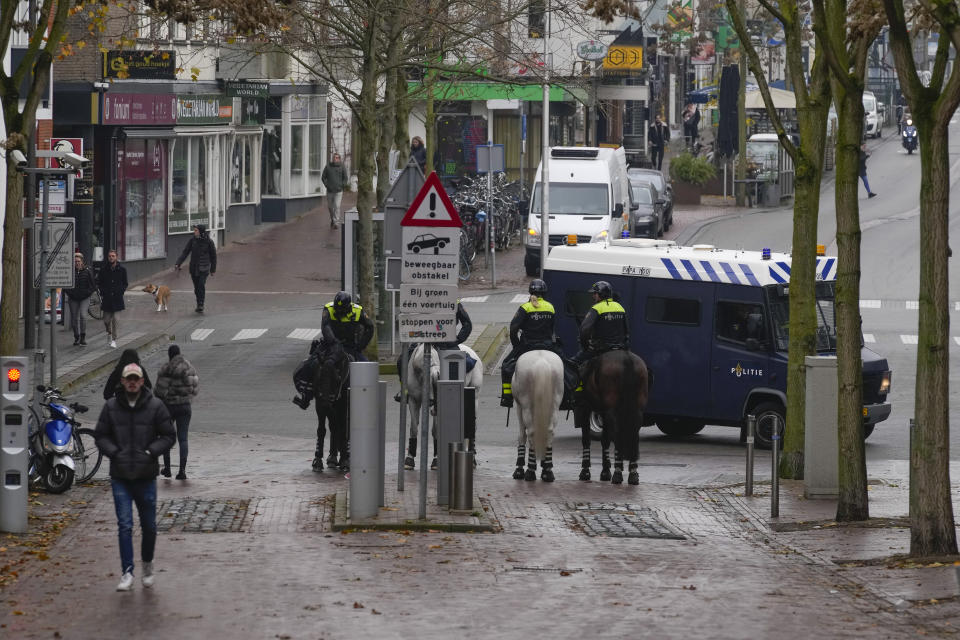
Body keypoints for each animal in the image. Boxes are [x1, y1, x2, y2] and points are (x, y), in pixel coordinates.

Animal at [512, 350, 568, 480]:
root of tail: (541, 362)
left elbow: (522, 435)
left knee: (531, 432)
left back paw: (530, 471)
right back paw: (548, 471)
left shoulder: (519, 406)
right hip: (554, 405)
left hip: (526, 406)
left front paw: (519, 469)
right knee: (550, 431)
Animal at [572, 350, 648, 484]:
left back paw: (617, 473)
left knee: (618, 435)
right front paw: (605, 471)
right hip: (636, 411)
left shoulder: (585, 408)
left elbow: (586, 439)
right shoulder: (603, 413)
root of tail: (626, 358)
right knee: (632, 434)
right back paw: (632, 473)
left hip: (612, 410)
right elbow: (605, 440)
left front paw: (585, 472)